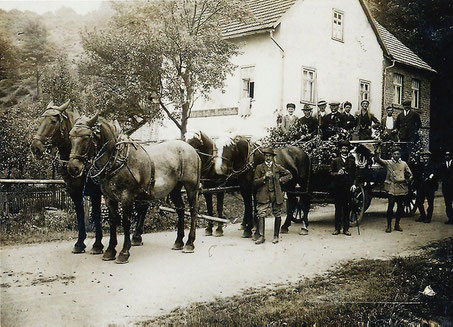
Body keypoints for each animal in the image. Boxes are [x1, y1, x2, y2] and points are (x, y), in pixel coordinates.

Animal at [30, 101, 147, 255]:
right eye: (40, 120)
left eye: (53, 121)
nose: (35, 148)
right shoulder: (74, 192)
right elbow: (80, 214)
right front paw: (80, 243)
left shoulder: (96, 192)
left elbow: (96, 215)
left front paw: (97, 244)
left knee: (142, 207)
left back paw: (137, 236)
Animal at [66, 115, 200, 264]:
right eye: (70, 137)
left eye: (87, 137)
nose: (73, 167)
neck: (117, 159)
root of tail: (191, 149)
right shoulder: (109, 198)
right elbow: (113, 221)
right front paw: (110, 251)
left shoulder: (127, 197)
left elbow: (126, 222)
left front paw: (124, 252)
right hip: (175, 189)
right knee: (181, 209)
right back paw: (178, 242)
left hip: (191, 187)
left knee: (193, 211)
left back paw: (189, 243)